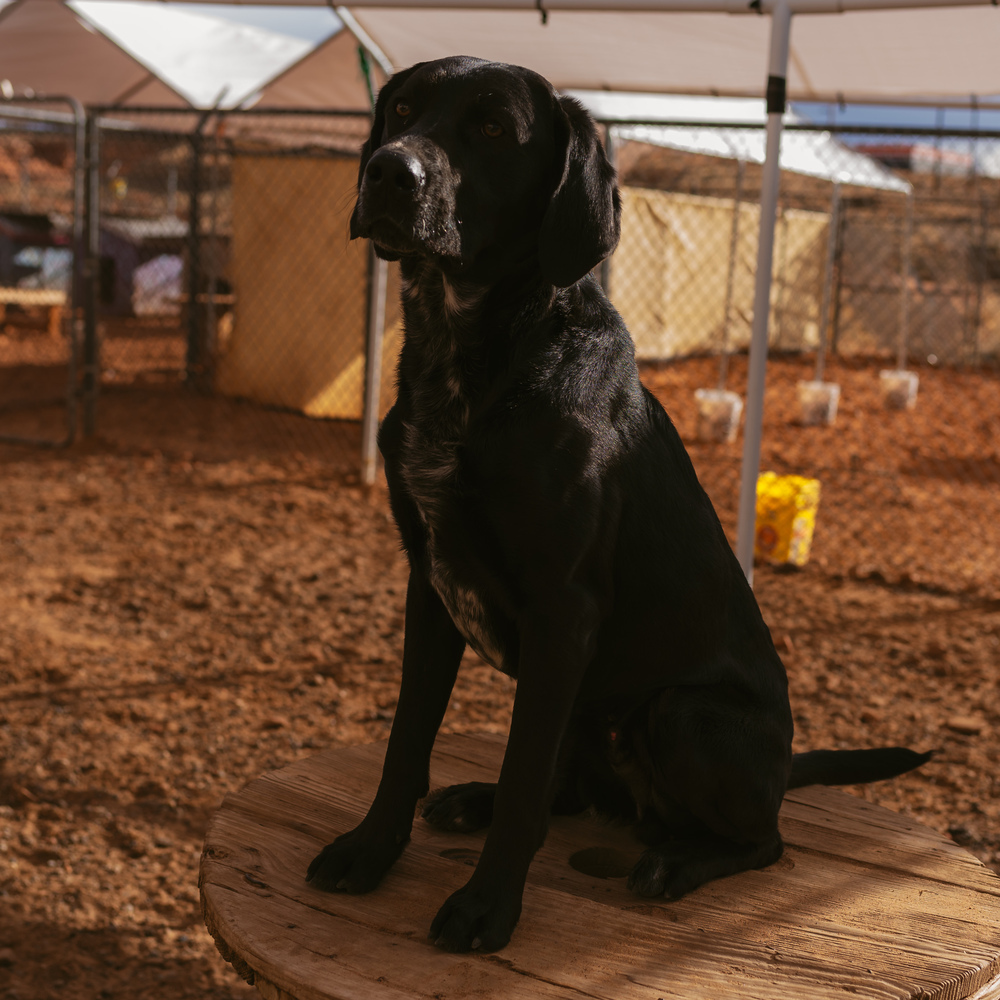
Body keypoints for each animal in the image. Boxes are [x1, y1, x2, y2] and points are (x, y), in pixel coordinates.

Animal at [304, 54, 928, 952]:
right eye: (402, 110)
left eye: (492, 127)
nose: (390, 170)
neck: (470, 359)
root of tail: (783, 765)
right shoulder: (429, 583)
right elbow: (406, 742)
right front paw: (370, 850)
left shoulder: (564, 609)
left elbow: (523, 772)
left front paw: (487, 907)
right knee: (571, 791)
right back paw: (477, 801)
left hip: (679, 712)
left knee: (764, 839)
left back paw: (677, 861)